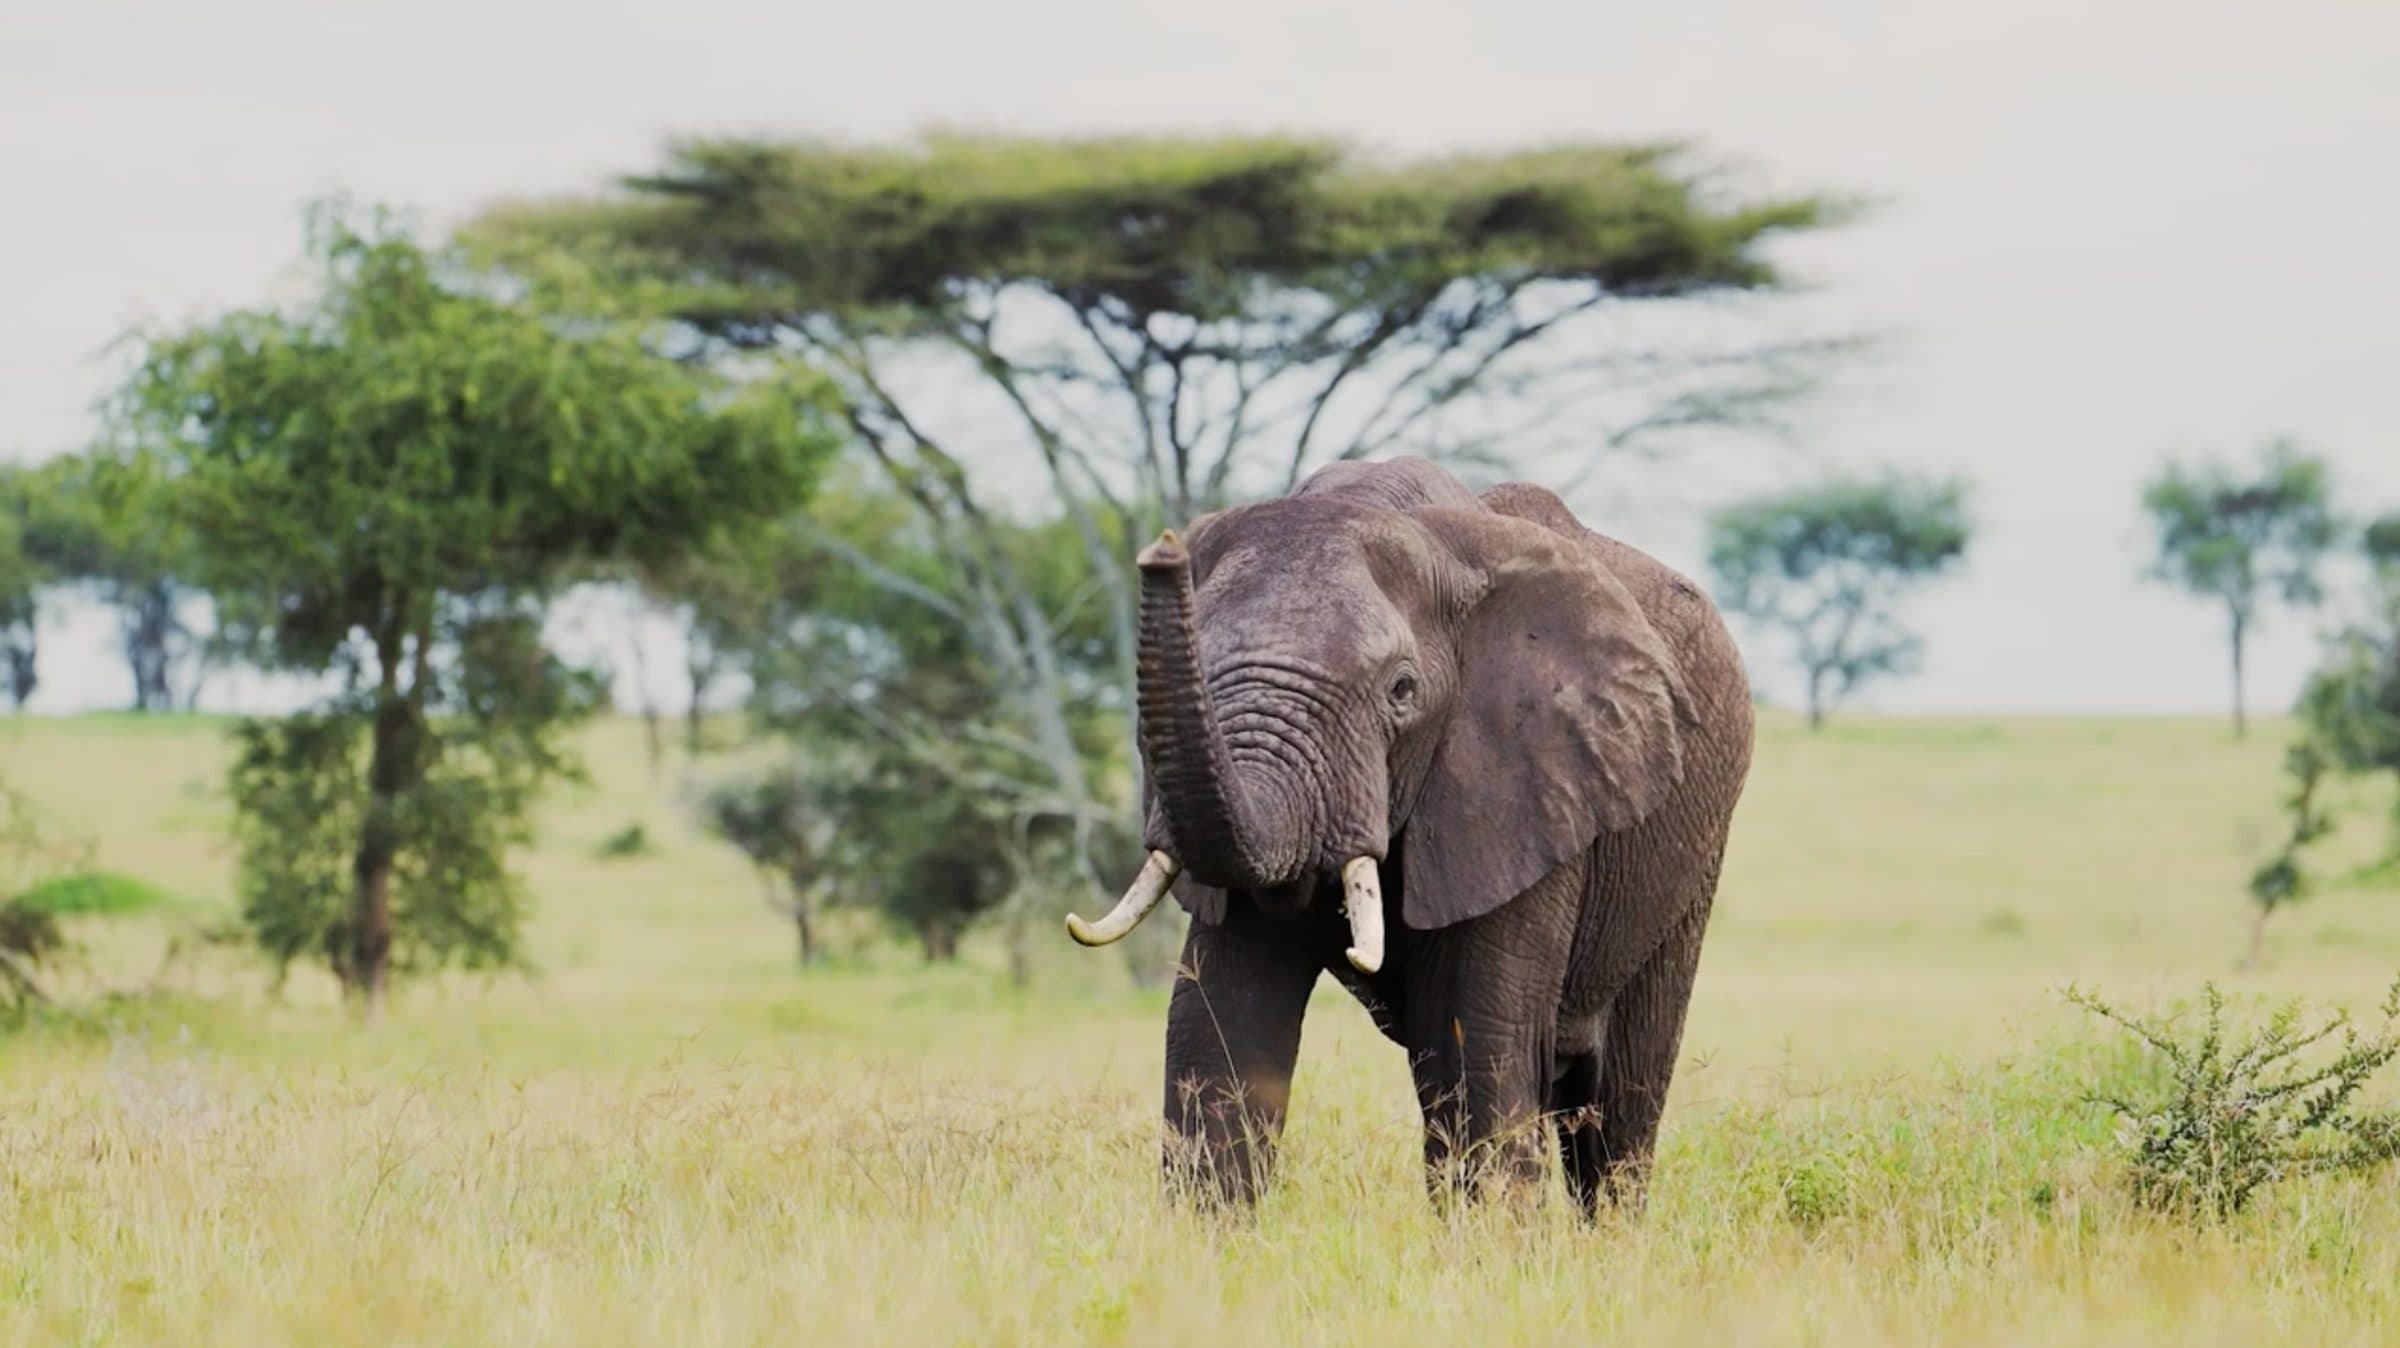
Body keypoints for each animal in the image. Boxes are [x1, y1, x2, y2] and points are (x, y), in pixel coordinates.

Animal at [1066, 456, 1754, 1213]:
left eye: (1401, 690)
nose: (1161, 549)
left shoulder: (1522, 789)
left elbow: (1475, 1042)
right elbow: (1219, 1024)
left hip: (1692, 852)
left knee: (1617, 1102)